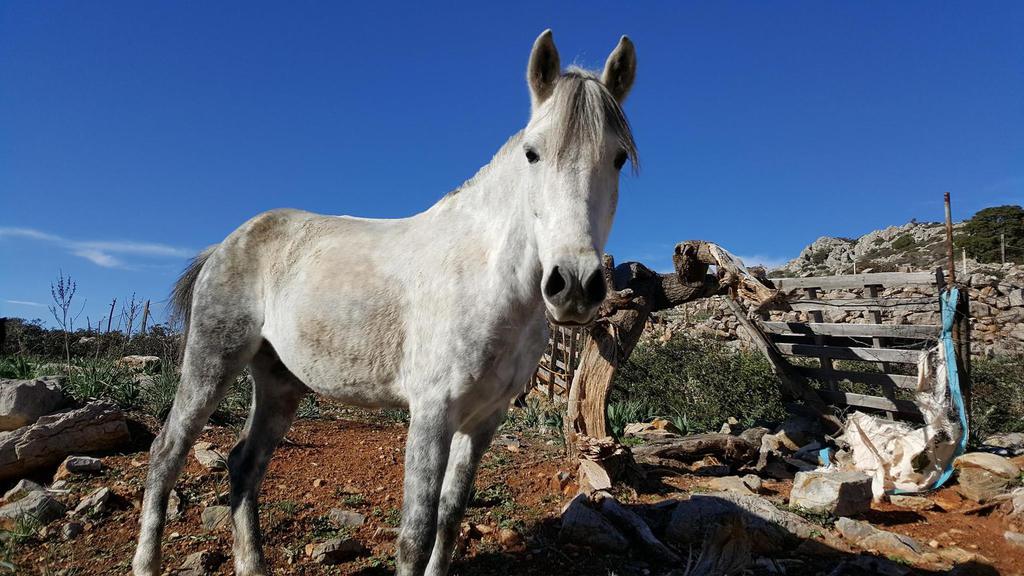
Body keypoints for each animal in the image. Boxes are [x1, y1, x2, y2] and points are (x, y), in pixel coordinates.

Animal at [132, 29, 637, 576]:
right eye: (532, 153)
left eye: (617, 158)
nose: (574, 285)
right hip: (211, 362)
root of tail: (228, 243)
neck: (485, 278)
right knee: (166, 453)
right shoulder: (432, 414)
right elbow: (415, 536)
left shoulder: (484, 422)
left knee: (244, 465)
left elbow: (450, 518)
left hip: (279, 382)